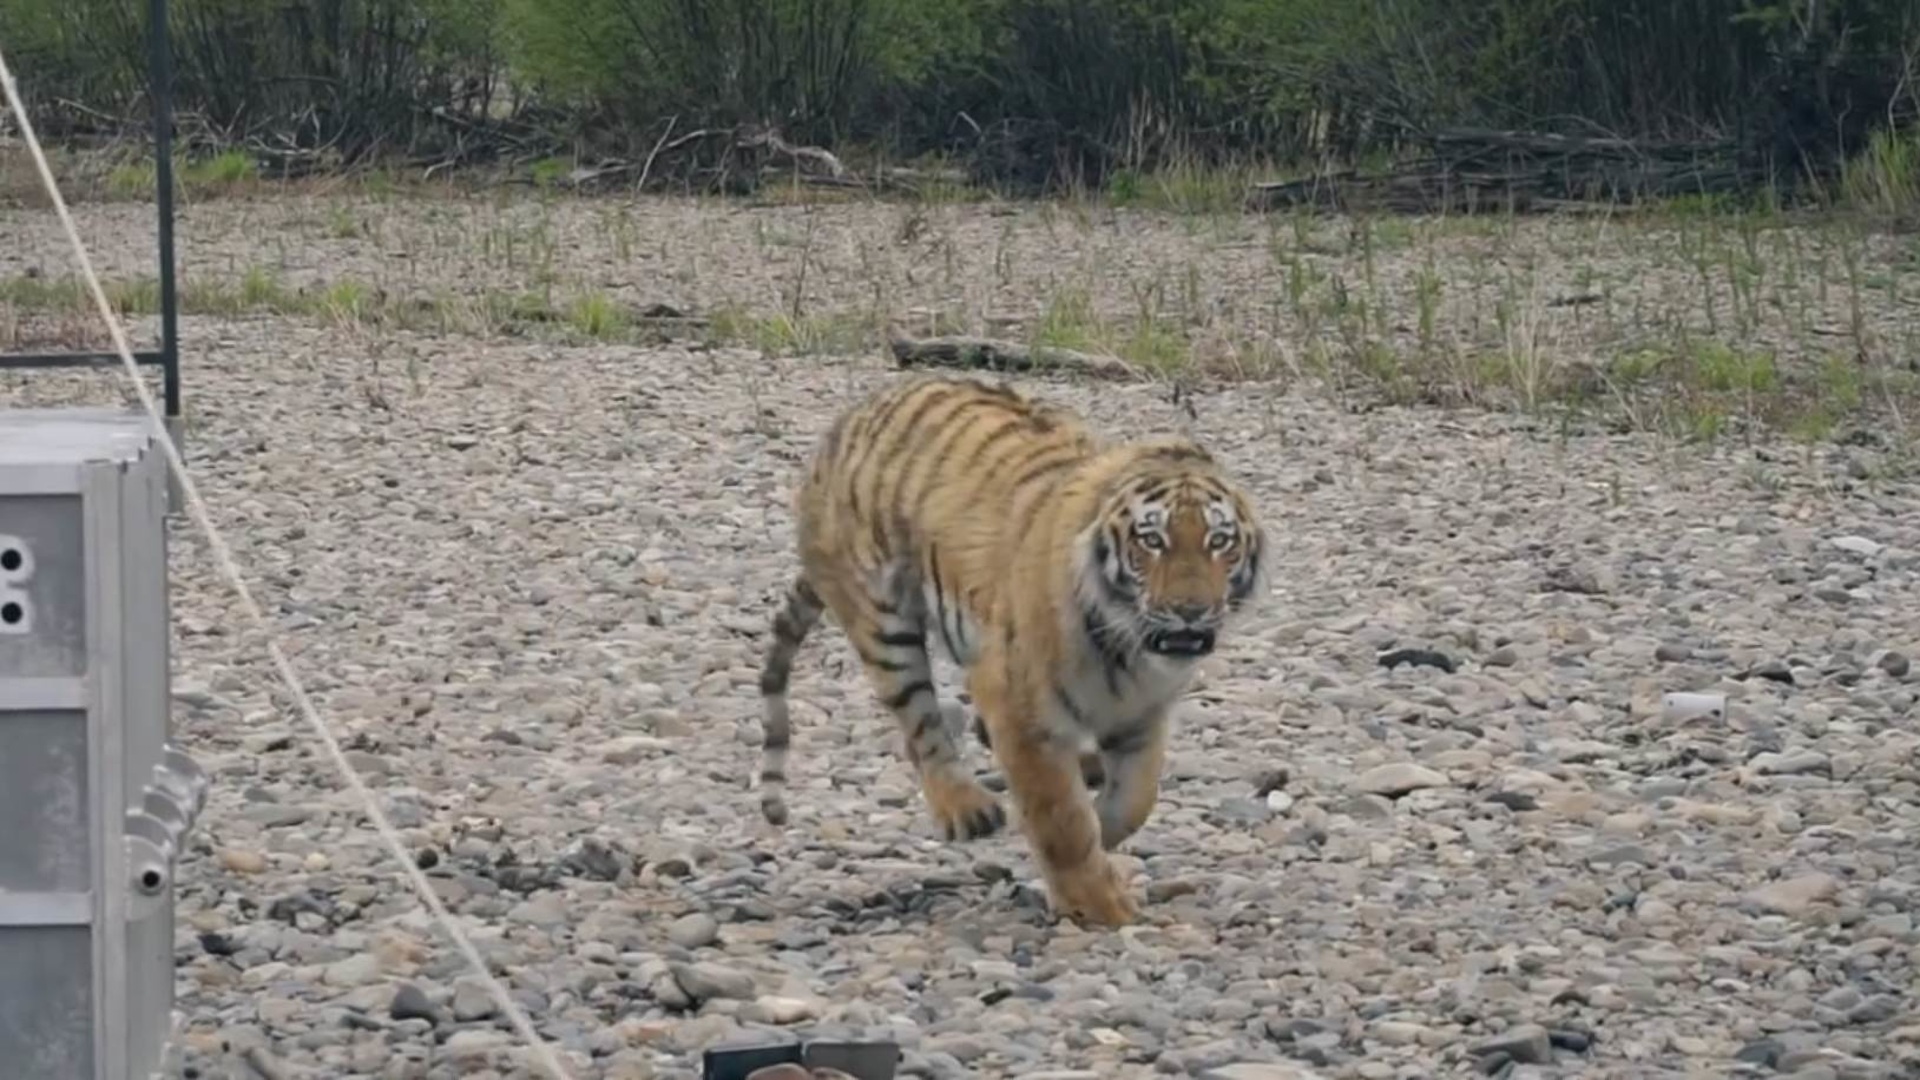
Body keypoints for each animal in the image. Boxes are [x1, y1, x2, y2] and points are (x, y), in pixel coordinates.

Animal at [756, 372, 1267, 926]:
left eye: (1219, 541)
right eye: (1151, 541)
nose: (1190, 611)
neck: (1132, 655)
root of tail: (845, 424)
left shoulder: (1143, 713)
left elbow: (1136, 799)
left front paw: (1105, 841)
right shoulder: (1020, 706)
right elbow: (1062, 820)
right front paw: (1096, 901)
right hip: (884, 623)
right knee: (920, 725)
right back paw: (966, 808)